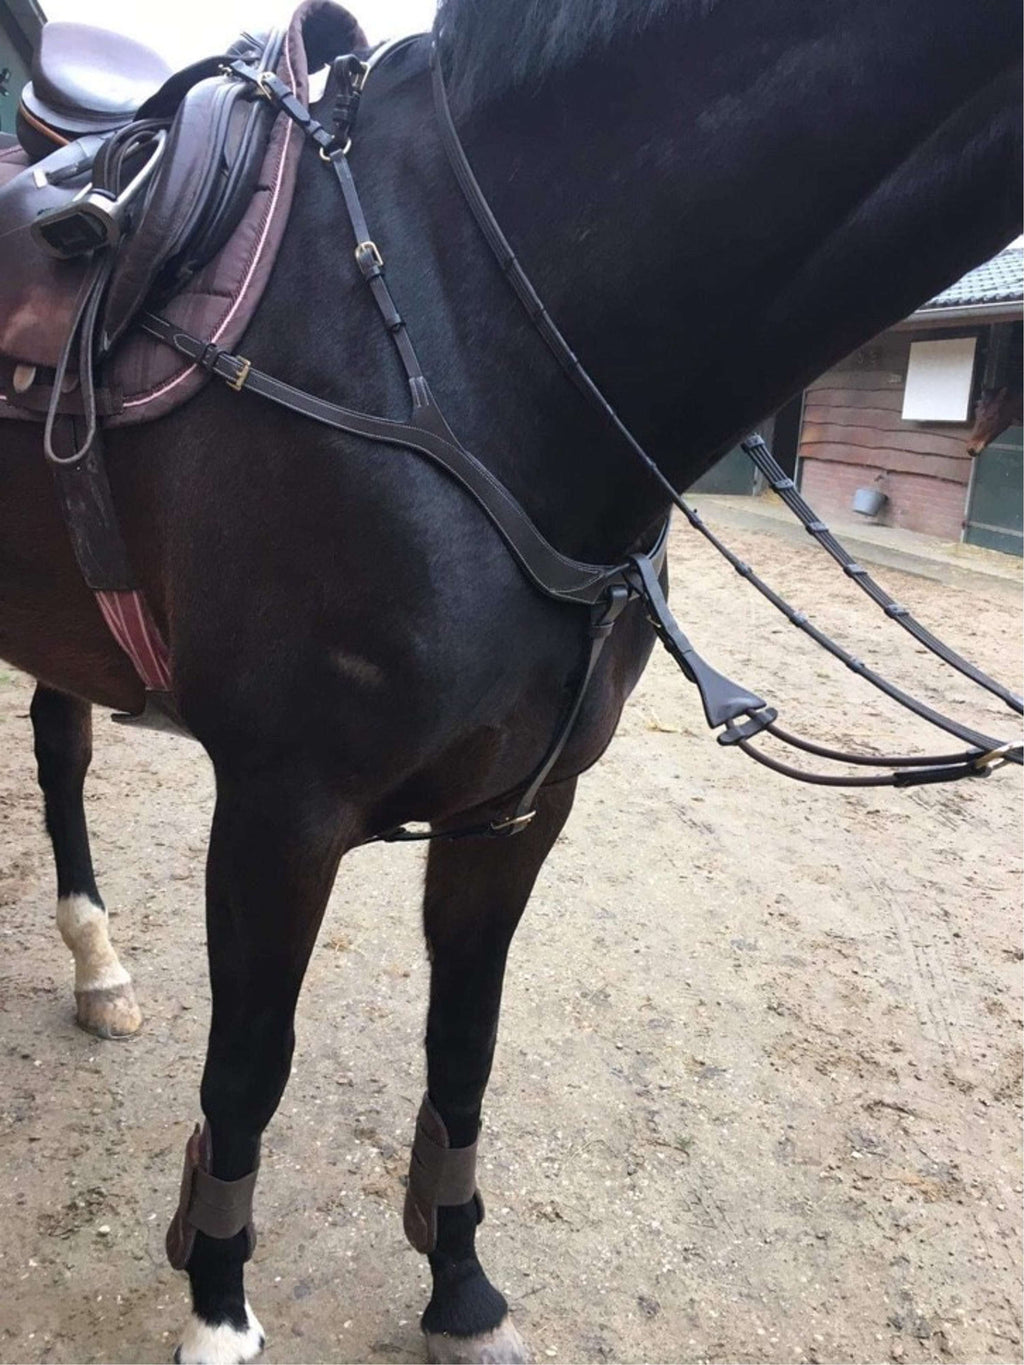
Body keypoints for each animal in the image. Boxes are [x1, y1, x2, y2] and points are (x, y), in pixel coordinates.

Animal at [0, 0, 1020, 1360]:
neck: (461, 324)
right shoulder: (281, 808)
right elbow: (250, 1067)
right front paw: (218, 1308)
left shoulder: (519, 811)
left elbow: (464, 1053)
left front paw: (460, 1290)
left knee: (59, 744)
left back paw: (96, 967)